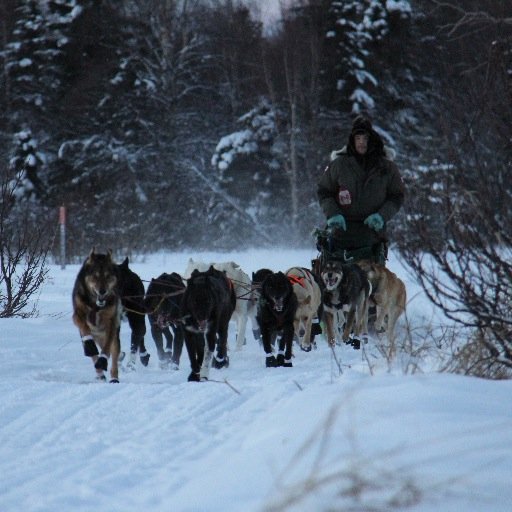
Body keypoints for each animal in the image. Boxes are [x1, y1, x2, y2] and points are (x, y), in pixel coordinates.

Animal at [72, 250, 123, 382]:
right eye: (95, 276)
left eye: (107, 276)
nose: (102, 291)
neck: (95, 305)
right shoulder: (77, 314)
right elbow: (83, 326)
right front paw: (90, 346)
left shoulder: (111, 321)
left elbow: (107, 348)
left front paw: (103, 360)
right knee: (93, 354)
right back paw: (100, 374)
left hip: (113, 338)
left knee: (114, 356)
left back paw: (114, 378)